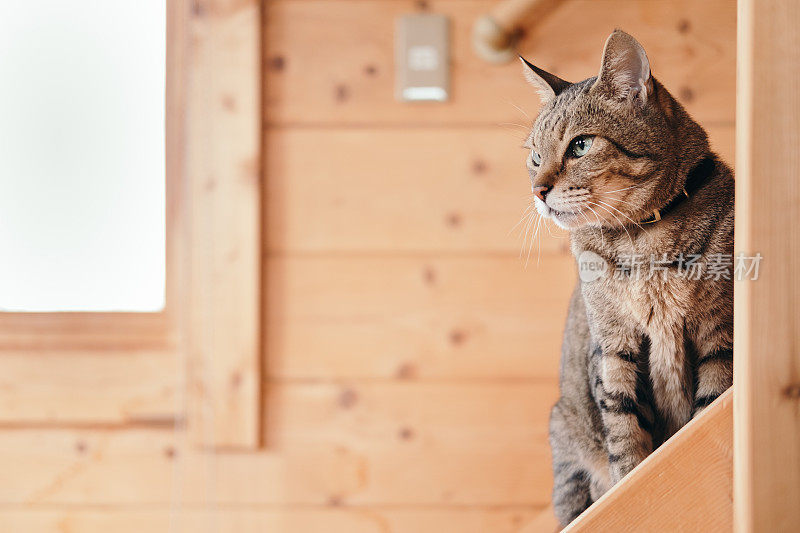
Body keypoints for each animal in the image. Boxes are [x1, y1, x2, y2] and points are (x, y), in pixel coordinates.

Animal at [520, 30, 732, 524]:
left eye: (580, 146)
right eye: (535, 157)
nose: (538, 191)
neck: (640, 238)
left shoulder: (718, 329)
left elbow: (710, 398)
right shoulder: (614, 344)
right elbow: (625, 428)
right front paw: (630, 481)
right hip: (567, 435)